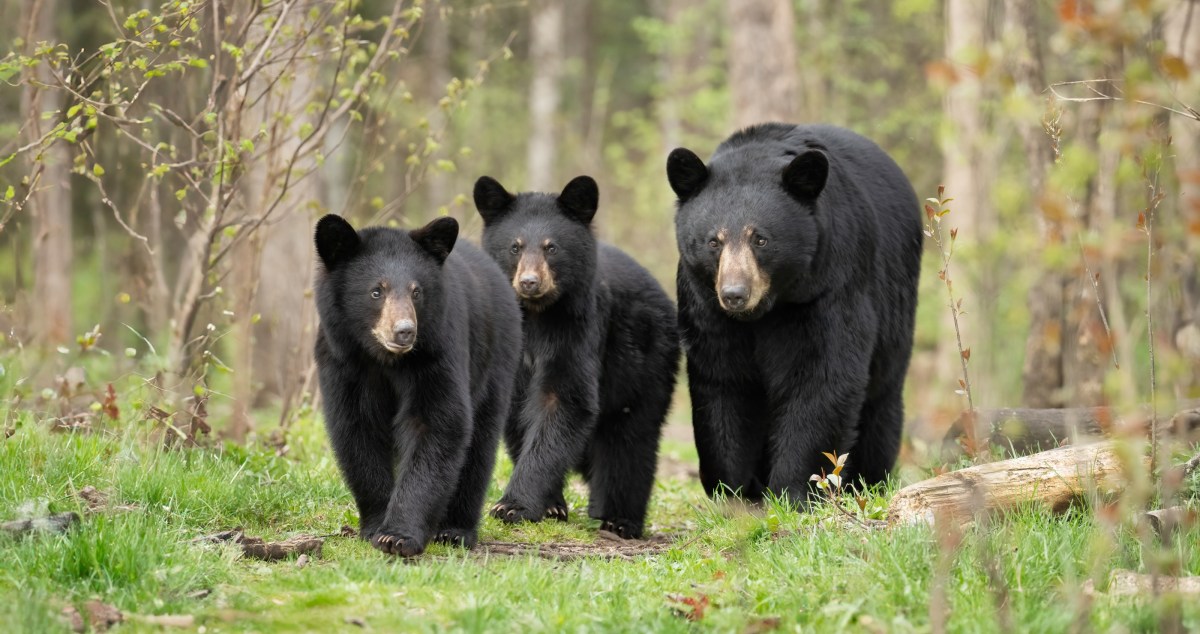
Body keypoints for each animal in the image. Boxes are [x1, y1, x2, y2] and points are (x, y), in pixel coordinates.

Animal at [313, 214, 521, 557]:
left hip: (495, 357)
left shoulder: (437, 353)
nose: (404, 331)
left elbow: (437, 423)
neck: (386, 359)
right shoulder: (343, 359)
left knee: (479, 443)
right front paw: (375, 526)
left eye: (416, 292)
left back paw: (455, 530)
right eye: (376, 291)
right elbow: (357, 429)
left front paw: (397, 536)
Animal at [472, 174, 681, 539]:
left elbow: (565, 401)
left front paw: (512, 505)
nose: (529, 282)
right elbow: (517, 414)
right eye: (515, 246)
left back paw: (620, 519)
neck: (537, 315)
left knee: (631, 439)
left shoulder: (578, 328)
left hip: (646, 362)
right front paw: (551, 505)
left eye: (551, 247)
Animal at [666, 123, 922, 502]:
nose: (734, 294)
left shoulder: (828, 286)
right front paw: (731, 490)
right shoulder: (705, 304)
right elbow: (723, 380)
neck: (767, 307)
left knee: (882, 399)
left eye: (760, 239)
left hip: (897, 305)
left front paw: (795, 490)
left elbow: (822, 376)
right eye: (714, 241)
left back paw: (868, 479)